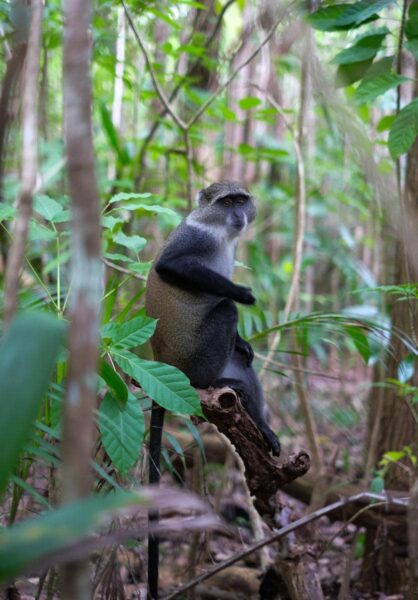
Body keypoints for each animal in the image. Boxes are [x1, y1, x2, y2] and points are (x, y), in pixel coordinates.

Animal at [145, 180, 280, 596]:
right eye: (227, 202)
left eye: (241, 200)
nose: (238, 214)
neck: (221, 231)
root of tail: (166, 363)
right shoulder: (196, 236)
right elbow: (171, 266)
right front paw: (240, 291)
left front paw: (247, 344)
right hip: (198, 358)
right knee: (225, 312)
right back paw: (209, 381)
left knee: (243, 367)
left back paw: (261, 424)